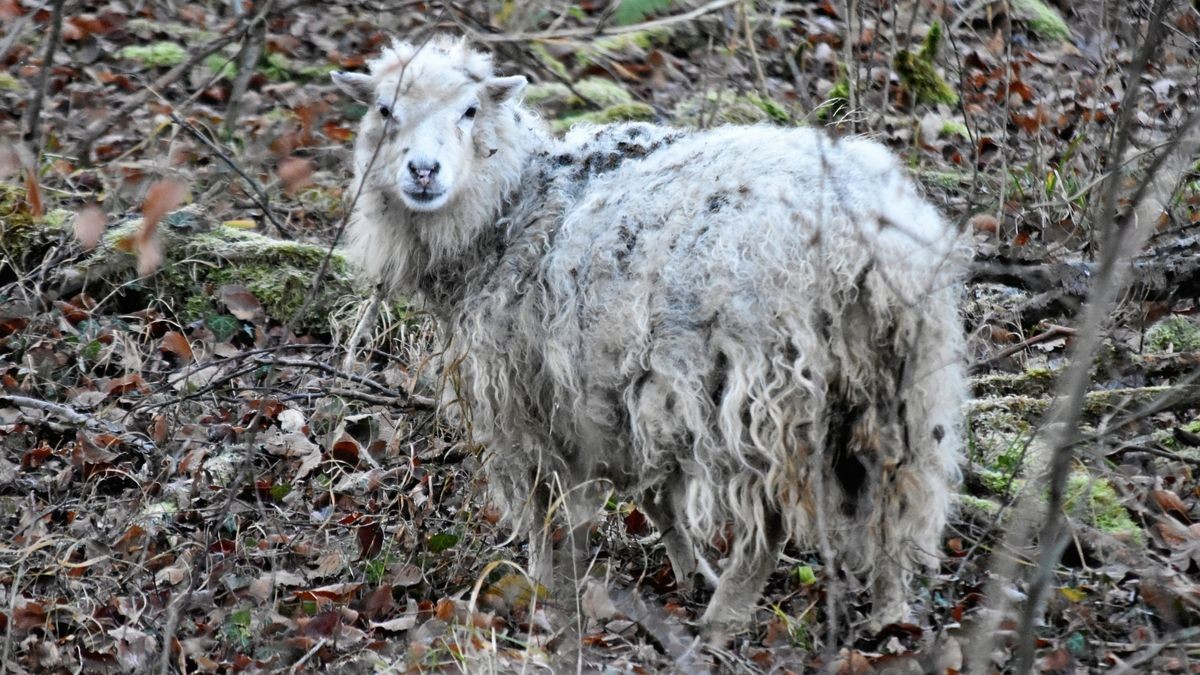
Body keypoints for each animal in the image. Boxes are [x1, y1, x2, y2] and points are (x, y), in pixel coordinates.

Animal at [333, 35, 969, 634]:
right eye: (384, 109)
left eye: (469, 111)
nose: (423, 171)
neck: (512, 207)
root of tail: (863, 236)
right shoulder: (619, 393)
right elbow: (654, 493)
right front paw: (687, 570)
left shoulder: (521, 394)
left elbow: (540, 501)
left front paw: (538, 583)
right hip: (900, 383)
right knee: (893, 490)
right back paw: (890, 614)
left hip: (768, 383)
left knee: (769, 522)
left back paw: (723, 621)